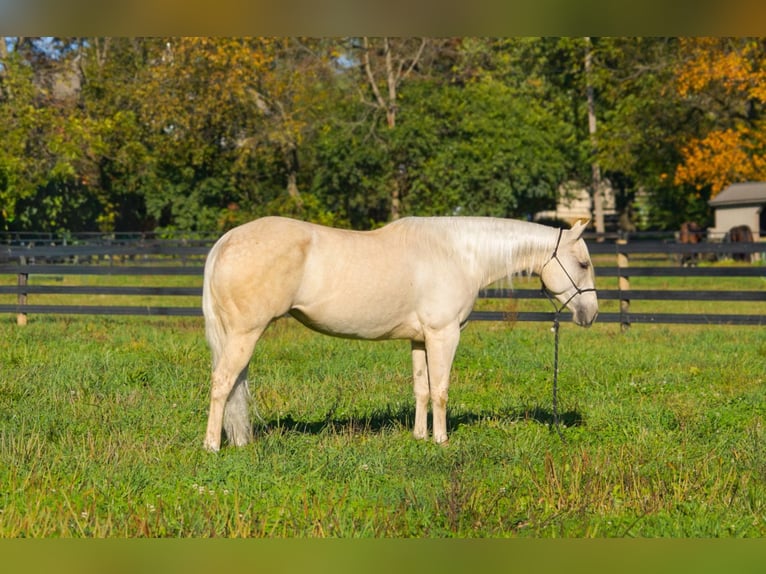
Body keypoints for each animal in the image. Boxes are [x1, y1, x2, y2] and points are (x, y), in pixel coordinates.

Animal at [201, 216, 599, 452]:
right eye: (583, 263)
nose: (591, 313)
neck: (459, 254)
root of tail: (226, 241)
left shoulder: (420, 339)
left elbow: (421, 389)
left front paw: (420, 436)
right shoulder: (443, 335)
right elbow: (440, 391)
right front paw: (441, 440)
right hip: (245, 334)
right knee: (222, 383)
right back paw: (212, 446)